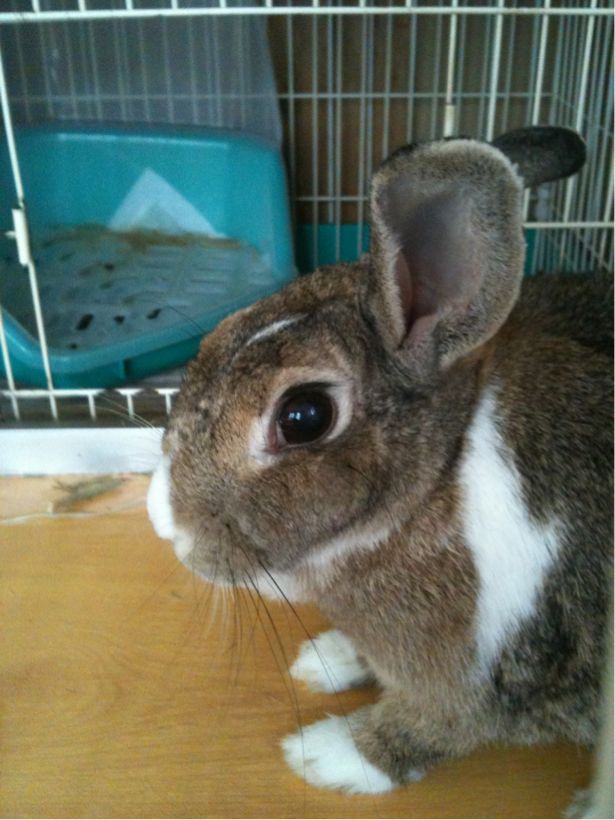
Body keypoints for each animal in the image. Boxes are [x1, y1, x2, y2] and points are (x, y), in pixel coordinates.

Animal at [147, 125, 613, 795]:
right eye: (213, 338)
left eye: (304, 416)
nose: (164, 521)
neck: (436, 484)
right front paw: (327, 659)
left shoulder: (478, 686)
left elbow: (425, 730)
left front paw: (323, 755)